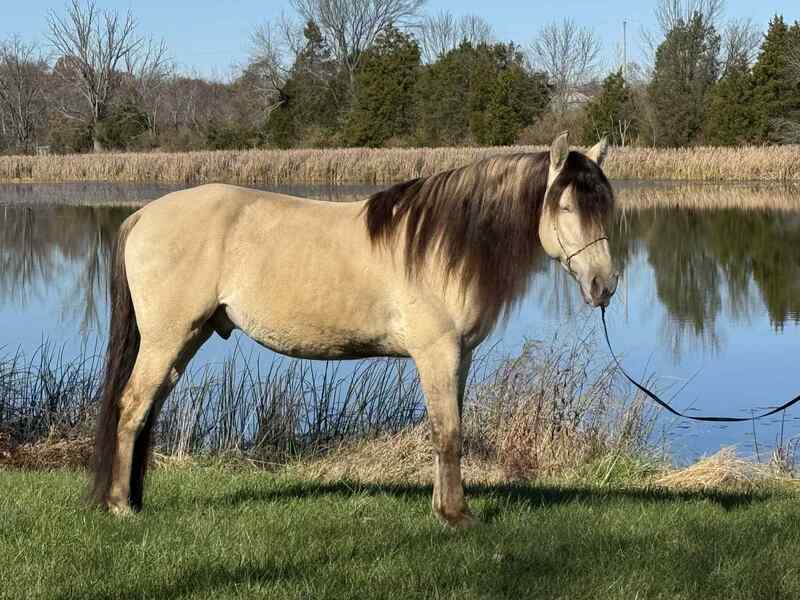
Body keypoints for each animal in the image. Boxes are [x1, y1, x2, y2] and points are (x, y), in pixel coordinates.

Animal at [90, 132, 618, 527]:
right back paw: (120, 507)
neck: (441, 245)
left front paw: (442, 507)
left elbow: (448, 428)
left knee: (148, 409)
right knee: (132, 406)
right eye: (566, 208)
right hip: (167, 338)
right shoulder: (438, 353)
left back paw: (132, 498)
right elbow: (447, 431)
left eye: (606, 206)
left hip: (187, 339)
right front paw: (457, 516)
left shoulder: (459, 357)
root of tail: (143, 214)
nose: (604, 285)